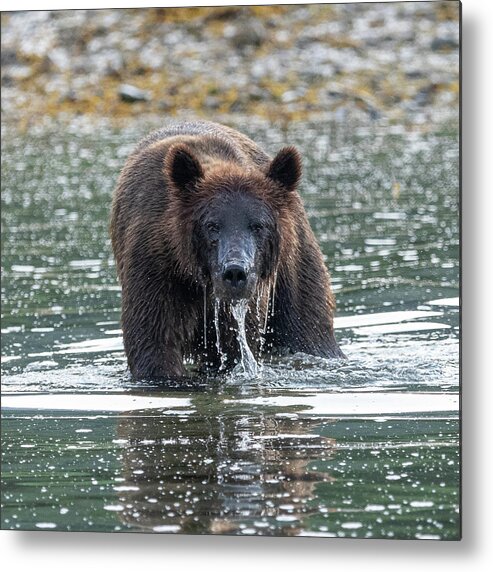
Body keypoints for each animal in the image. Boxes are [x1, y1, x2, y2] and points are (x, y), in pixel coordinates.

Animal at [110, 119, 342, 380]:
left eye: (258, 225)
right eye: (212, 225)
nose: (235, 272)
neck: (195, 276)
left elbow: (235, 346)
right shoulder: (155, 265)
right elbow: (154, 342)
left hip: (293, 266)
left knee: (308, 328)